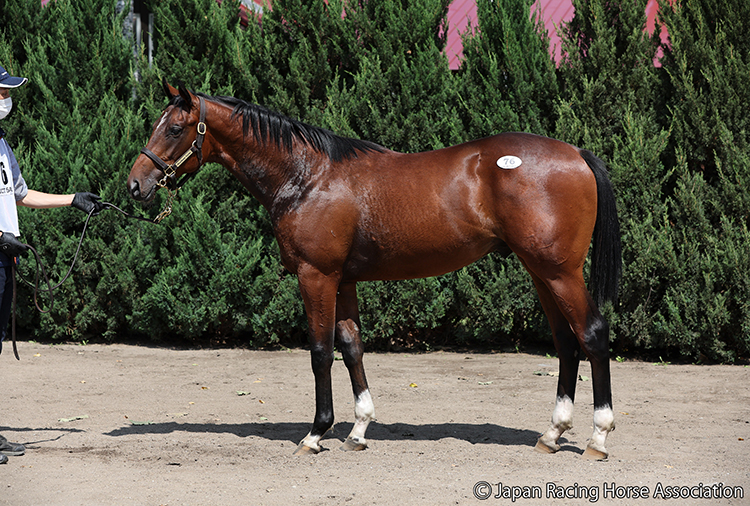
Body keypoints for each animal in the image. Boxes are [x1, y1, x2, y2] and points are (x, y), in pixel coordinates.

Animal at [128, 81, 624, 460]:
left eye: (175, 128)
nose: (135, 185)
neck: (308, 177)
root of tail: (577, 153)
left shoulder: (316, 276)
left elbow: (320, 352)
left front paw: (316, 433)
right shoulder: (344, 281)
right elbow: (352, 348)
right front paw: (358, 430)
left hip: (559, 271)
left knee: (592, 334)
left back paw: (598, 438)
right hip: (541, 272)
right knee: (566, 343)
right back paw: (552, 434)